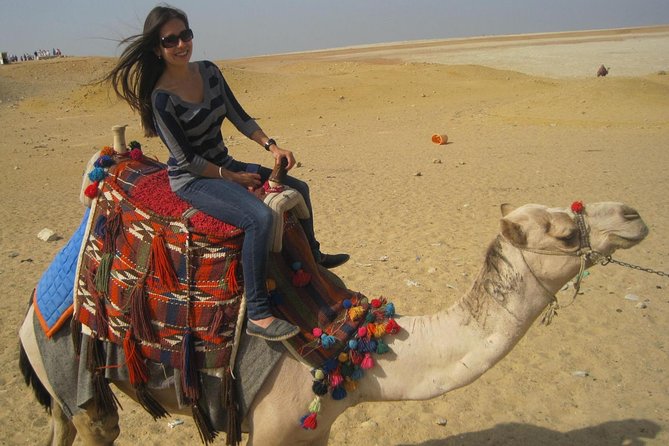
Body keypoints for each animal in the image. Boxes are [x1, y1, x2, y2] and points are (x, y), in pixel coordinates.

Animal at [19, 199, 648, 445]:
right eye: (562, 234)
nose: (633, 215)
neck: (341, 345)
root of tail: (32, 309)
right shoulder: (269, 429)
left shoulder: (312, 432)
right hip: (76, 372)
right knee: (97, 425)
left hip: (60, 387)